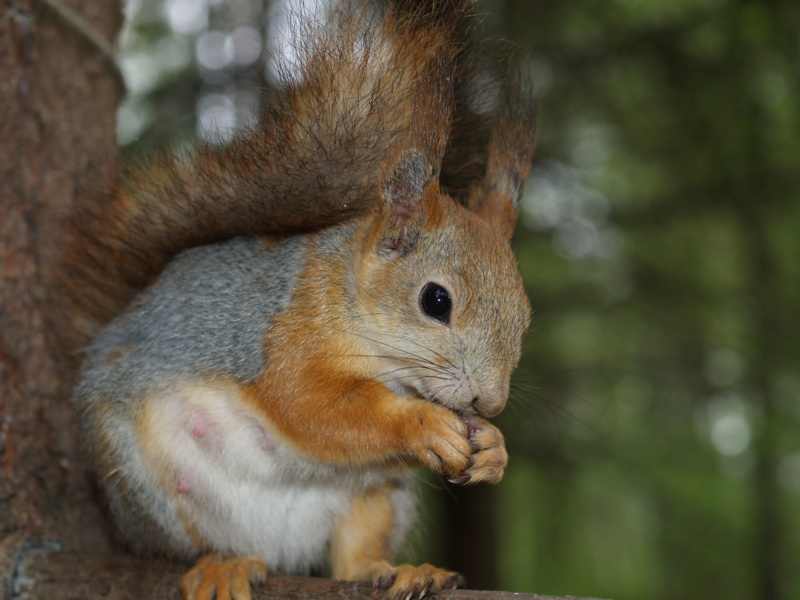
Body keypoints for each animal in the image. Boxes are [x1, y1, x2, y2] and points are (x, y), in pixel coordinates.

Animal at [59, 1, 536, 599]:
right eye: (436, 301)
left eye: (525, 319)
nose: (489, 403)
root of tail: (275, 550)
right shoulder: (280, 336)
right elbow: (307, 403)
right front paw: (420, 423)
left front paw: (494, 449)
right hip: (140, 480)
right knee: (184, 544)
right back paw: (221, 564)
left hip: (379, 494)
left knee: (355, 553)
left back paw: (400, 570)